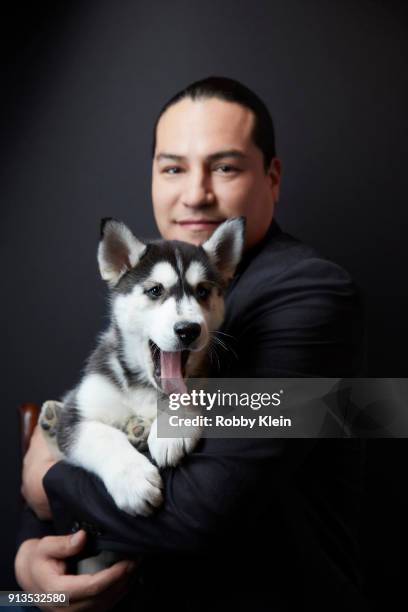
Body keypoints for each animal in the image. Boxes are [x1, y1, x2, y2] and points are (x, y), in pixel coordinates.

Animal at [39, 218, 244, 520]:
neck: (143, 386)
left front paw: (171, 428)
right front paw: (133, 481)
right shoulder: (77, 418)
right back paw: (52, 417)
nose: (188, 330)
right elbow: (104, 436)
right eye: (155, 290)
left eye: (203, 291)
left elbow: (190, 392)